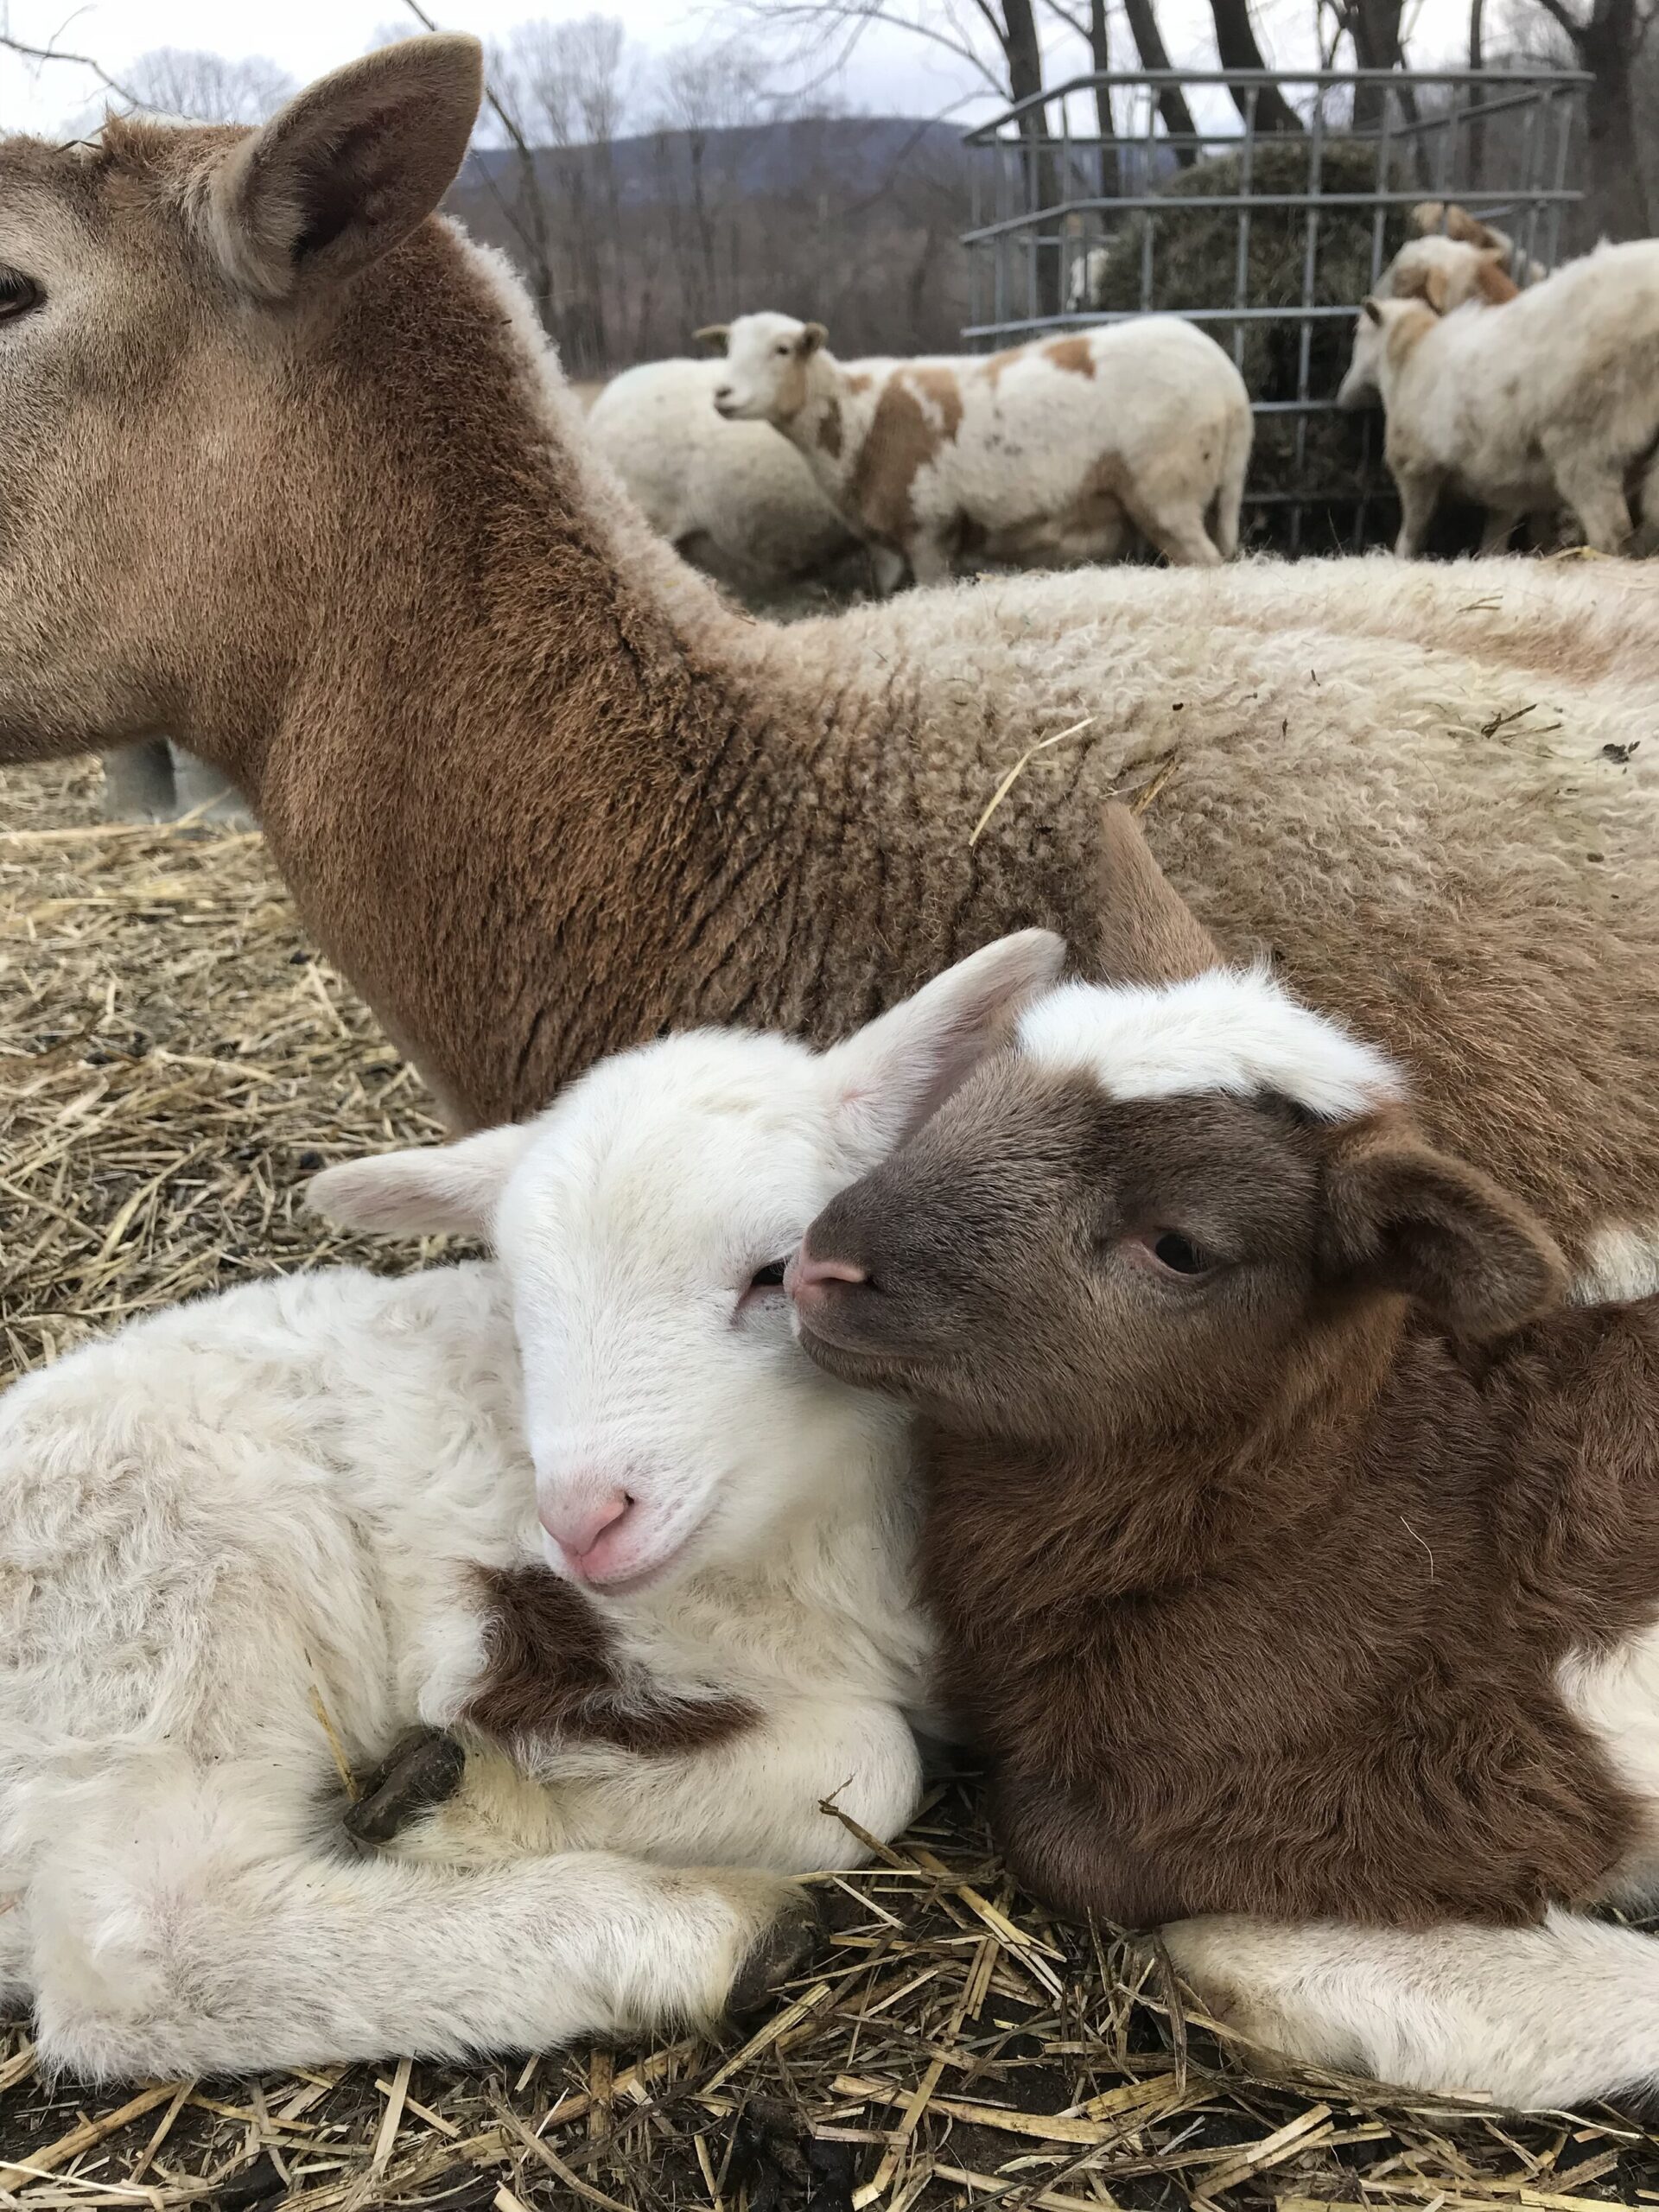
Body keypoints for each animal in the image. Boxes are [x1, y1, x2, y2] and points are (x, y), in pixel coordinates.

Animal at [0, 930, 1059, 2079]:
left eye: (779, 1272)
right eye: (521, 1300)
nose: (583, 1519)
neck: (804, 1539)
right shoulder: (474, 1623)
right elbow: (871, 1765)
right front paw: (518, 1797)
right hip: (169, 1601)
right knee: (146, 1944)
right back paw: (687, 1932)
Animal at [702, 309, 1253, 581]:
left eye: (782, 349)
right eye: (728, 348)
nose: (721, 394)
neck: (859, 417)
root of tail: (1229, 382)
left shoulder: (928, 529)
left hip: (1167, 489)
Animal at [1339, 239, 1659, 556]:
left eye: (1400, 277)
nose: (1343, 398)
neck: (1412, 351)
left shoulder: (1415, 467)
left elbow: (1412, 532)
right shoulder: (1508, 486)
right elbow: (1498, 541)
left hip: (1586, 440)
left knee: (1612, 533)